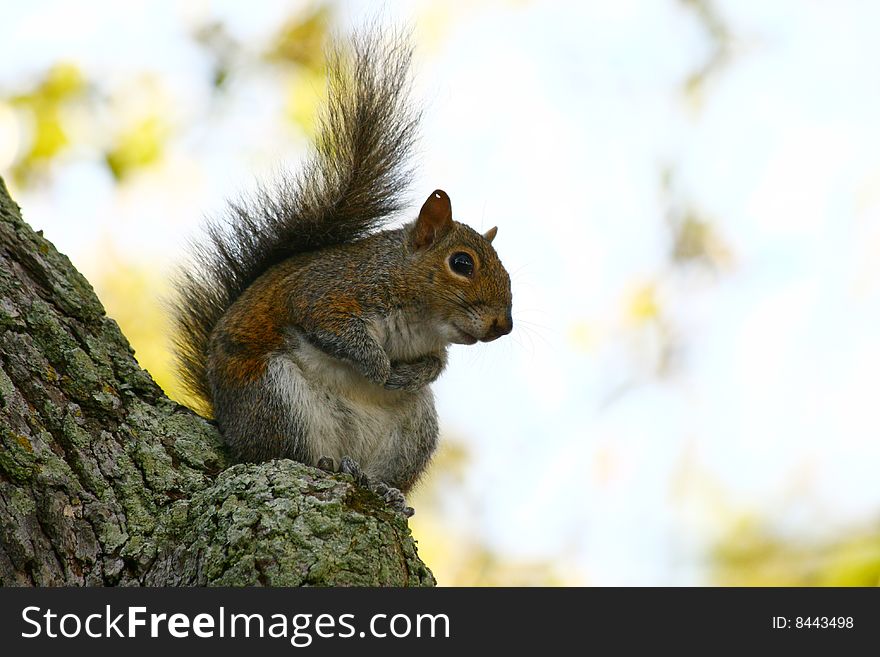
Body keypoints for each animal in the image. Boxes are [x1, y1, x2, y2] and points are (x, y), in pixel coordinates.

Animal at [169, 28, 512, 516]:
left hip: (414, 431)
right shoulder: (329, 291)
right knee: (285, 452)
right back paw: (326, 464)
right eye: (462, 263)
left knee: (380, 471)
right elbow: (336, 330)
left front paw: (407, 375)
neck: (420, 316)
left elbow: (436, 364)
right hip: (274, 397)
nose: (504, 324)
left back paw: (381, 487)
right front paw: (379, 367)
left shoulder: (432, 345)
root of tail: (227, 421)